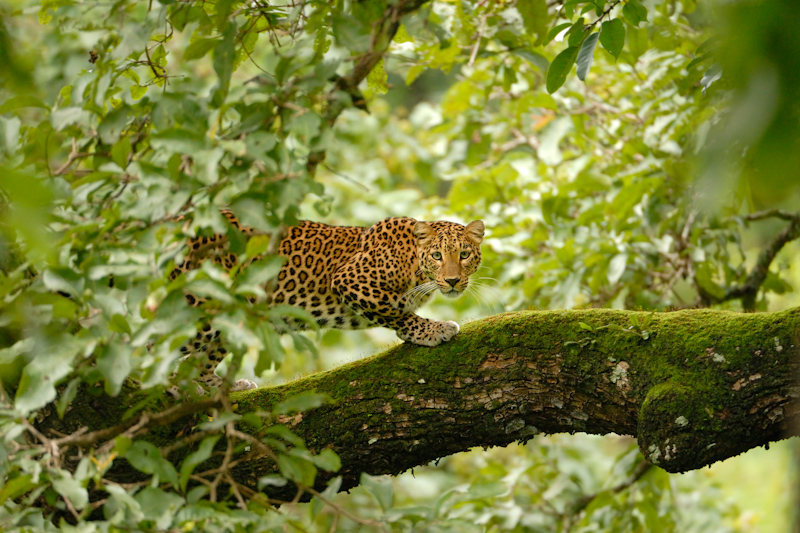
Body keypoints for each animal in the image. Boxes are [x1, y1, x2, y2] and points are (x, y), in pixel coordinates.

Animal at [168, 211, 482, 390]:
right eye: (437, 255)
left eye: (464, 255)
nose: (453, 281)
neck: (414, 263)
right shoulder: (349, 280)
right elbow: (395, 313)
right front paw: (432, 330)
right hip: (200, 303)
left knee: (199, 359)